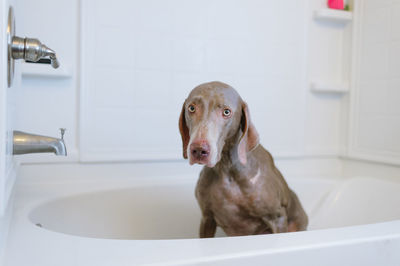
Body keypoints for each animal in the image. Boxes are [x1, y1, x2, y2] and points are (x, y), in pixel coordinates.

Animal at [180, 81, 308, 237]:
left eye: (226, 112)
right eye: (191, 108)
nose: (199, 149)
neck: (226, 168)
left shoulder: (277, 217)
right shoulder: (207, 218)